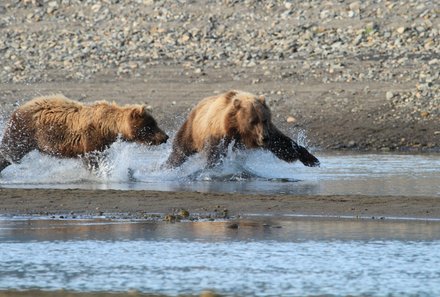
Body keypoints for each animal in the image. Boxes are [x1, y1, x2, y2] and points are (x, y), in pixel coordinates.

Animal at [0, 93, 168, 172]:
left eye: (155, 123)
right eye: (150, 126)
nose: (165, 137)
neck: (109, 128)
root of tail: (18, 108)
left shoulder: (103, 143)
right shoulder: (91, 138)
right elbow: (92, 159)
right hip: (24, 131)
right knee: (10, 150)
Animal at [165, 89, 320, 168]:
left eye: (264, 119)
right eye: (253, 121)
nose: (264, 138)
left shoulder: (270, 132)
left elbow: (284, 145)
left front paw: (312, 159)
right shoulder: (218, 133)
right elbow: (214, 153)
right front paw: (211, 168)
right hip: (192, 128)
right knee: (180, 148)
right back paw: (168, 164)